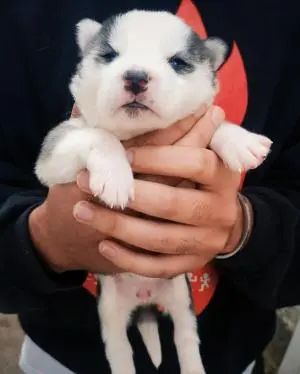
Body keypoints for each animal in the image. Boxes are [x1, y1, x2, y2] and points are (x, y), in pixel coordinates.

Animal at [35, 9, 272, 374]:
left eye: (177, 62)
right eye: (110, 55)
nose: (135, 77)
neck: (137, 133)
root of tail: (145, 298)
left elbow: (211, 122)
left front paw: (239, 140)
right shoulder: (55, 150)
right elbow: (101, 136)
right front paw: (116, 176)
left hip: (181, 299)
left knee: (185, 339)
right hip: (110, 311)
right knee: (120, 350)